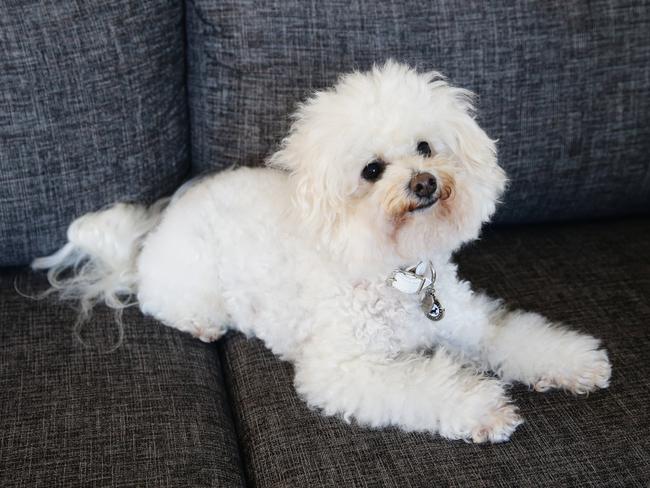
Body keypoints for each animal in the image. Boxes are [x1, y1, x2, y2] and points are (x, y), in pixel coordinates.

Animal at [33, 60, 612, 442]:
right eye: (372, 170)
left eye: (425, 147)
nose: (424, 182)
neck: (397, 274)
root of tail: (153, 232)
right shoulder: (345, 369)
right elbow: (427, 384)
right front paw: (483, 408)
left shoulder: (465, 321)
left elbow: (515, 336)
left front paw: (574, 362)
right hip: (190, 282)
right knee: (166, 304)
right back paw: (201, 324)